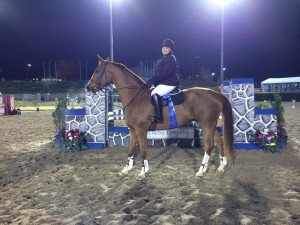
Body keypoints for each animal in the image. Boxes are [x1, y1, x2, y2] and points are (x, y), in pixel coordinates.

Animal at [85, 56, 234, 179]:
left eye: (97, 71)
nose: (88, 87)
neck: (136, 96)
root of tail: (217, 94)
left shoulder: (141, 130)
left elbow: (143, 150)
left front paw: (142, 172)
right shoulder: (132, 130)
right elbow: (131, 149)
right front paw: (126, 169)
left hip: (206, 125)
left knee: (209, 146)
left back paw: (201, 171)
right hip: (210, 125)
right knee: (219, 142)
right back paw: (221, 166)